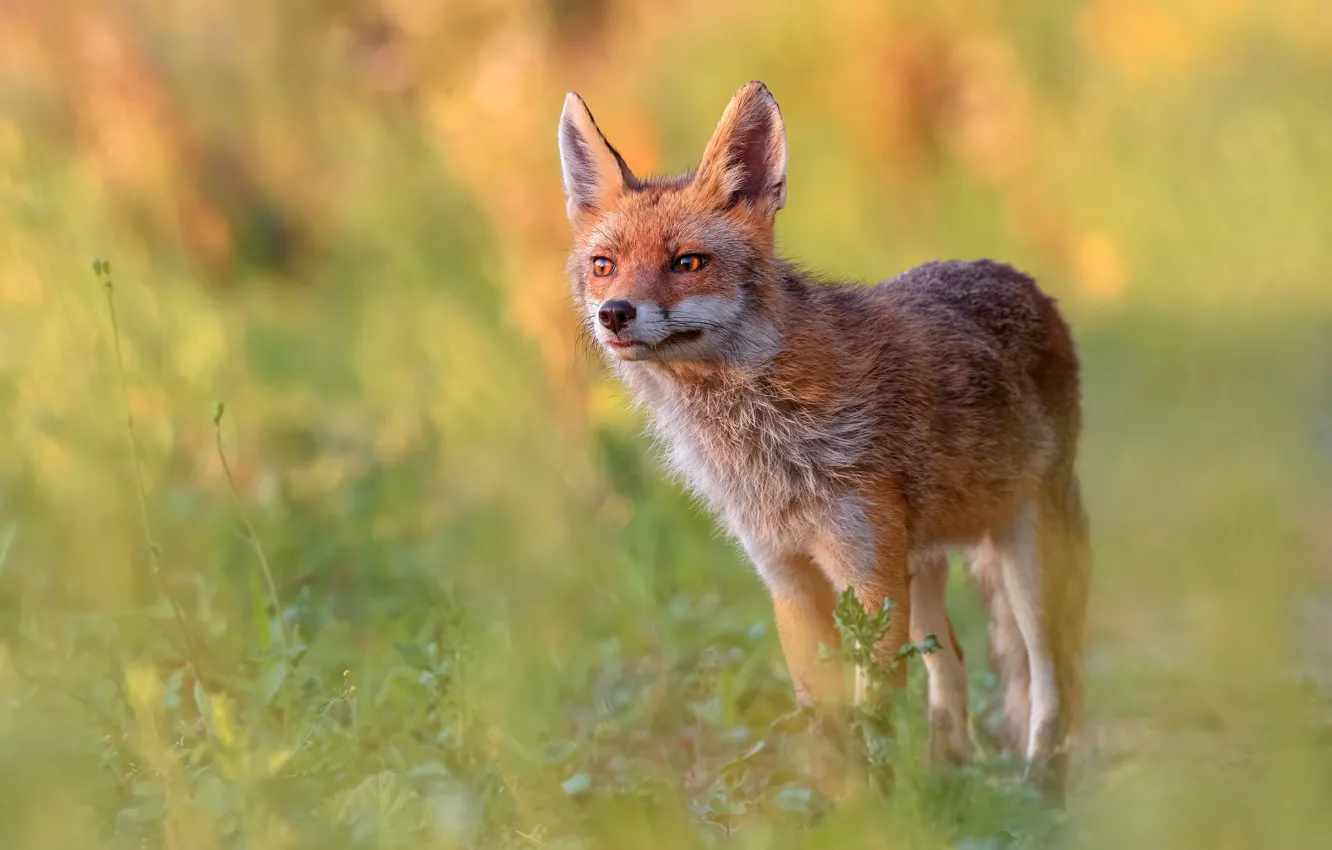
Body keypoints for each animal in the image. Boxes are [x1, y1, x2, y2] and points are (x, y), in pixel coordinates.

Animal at [557, 81, 1091, 802]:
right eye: (604, 266)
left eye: (687, 262)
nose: (614, 314)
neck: (762, 439)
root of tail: (1014, 275)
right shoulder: (789, 578)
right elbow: (829, 727)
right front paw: (844, 808)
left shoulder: (868, 580)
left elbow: (874, 719)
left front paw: (876, 809)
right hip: (922, 571)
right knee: (951, 668)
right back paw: (949, 782)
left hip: (1027, 562)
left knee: (1050, 681)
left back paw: (1039, 790)